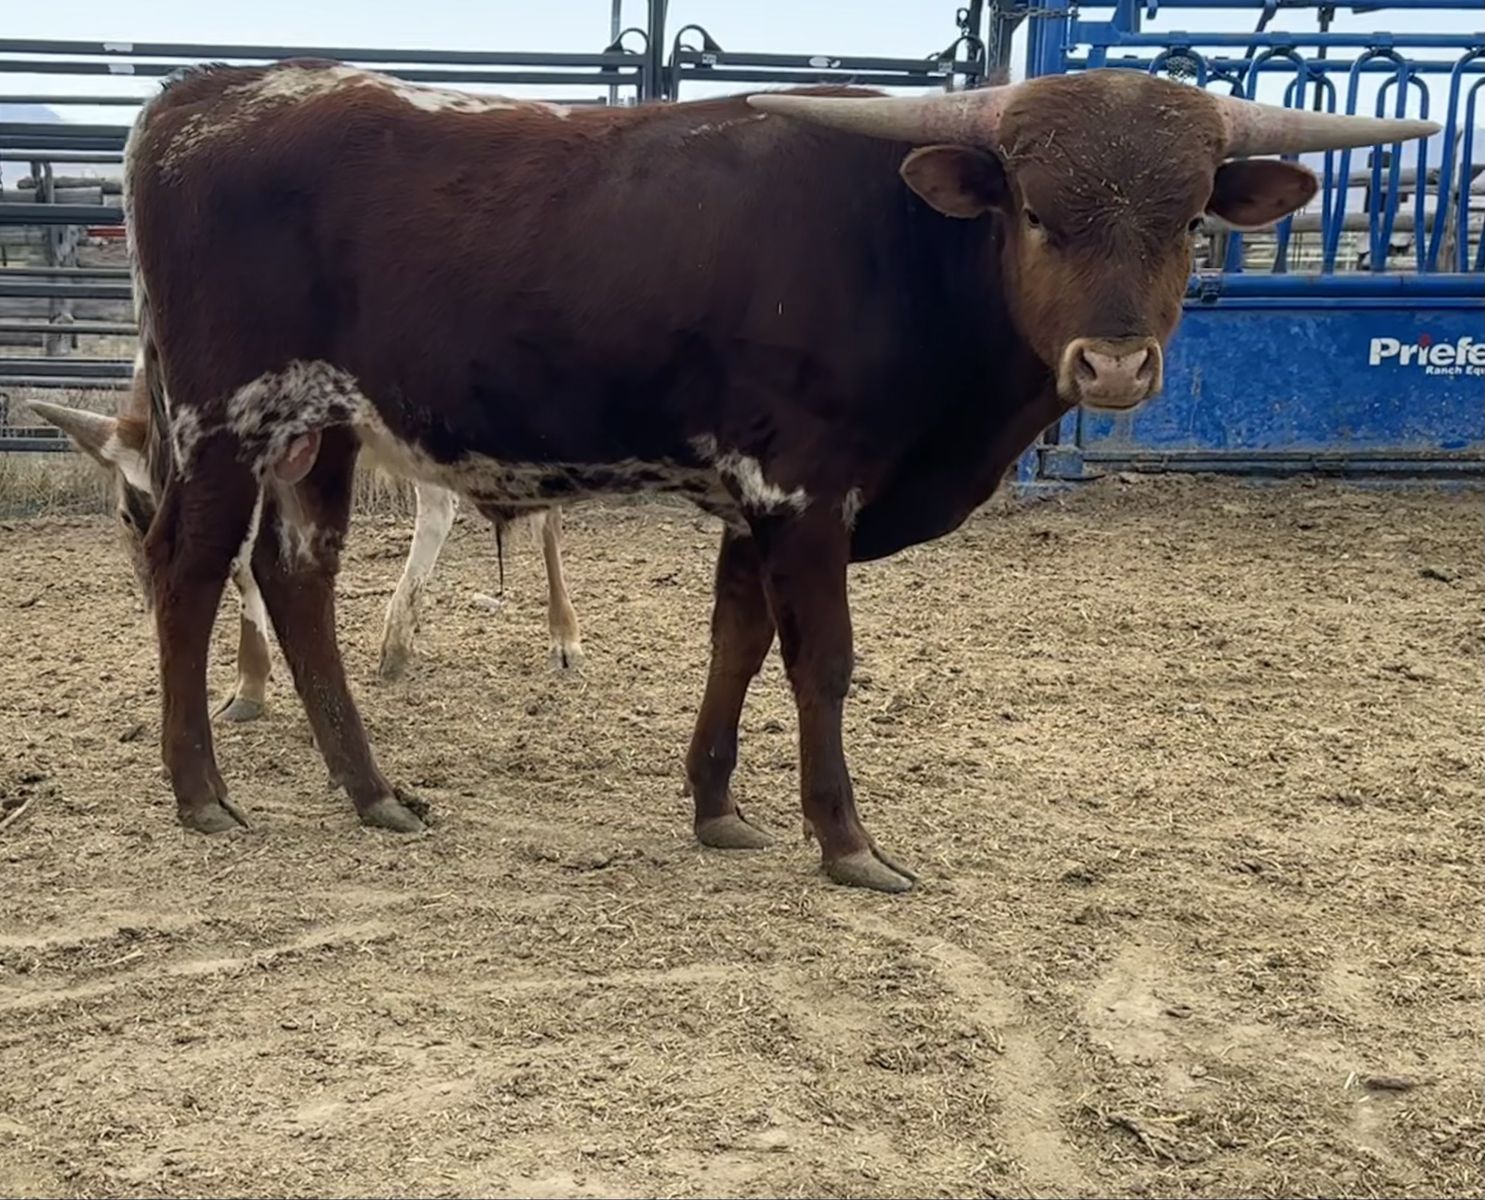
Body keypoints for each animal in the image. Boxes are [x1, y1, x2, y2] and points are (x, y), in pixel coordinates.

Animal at [111, 60, 1432, 891]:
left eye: (1188, 221)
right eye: (1037, 212)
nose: (1112, 364)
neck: (904, 248)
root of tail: (207, 93)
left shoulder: (756, 499)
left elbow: (737, 642)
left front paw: (718, 809)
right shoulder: (807, 490)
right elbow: (823, 663)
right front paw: (846, 842)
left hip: (319, 430)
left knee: (297, 578)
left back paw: (372, 790)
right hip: (230, 413)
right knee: (189, 566)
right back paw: (199, 791)